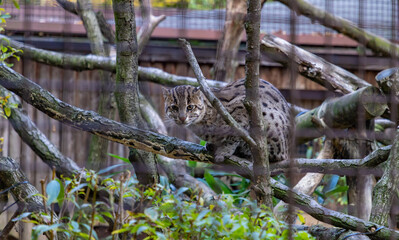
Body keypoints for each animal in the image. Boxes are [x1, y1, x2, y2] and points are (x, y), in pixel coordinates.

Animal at [162, 79, 290, 163]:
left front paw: (225, 151)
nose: (182, 118)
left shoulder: (243, 107)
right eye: (174, 107)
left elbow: (234, 136)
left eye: (190, 107)